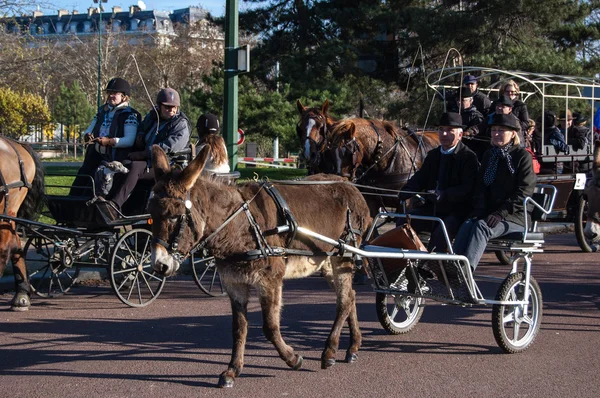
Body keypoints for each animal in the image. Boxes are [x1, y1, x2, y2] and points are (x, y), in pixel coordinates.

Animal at [147, 145, 370, 388]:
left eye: (174, 216)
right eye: (150, 215)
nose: (158, 265)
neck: (240, 223)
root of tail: (352, 187)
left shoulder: (270, 280)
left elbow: (270, 326)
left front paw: (293, 359)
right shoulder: (234, 283)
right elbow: (239, 328)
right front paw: (232, 371)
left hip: (344, 256)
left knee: (344, 300)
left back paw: (329, 352)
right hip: (328, 261)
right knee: (350, 296)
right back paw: (352, 348)